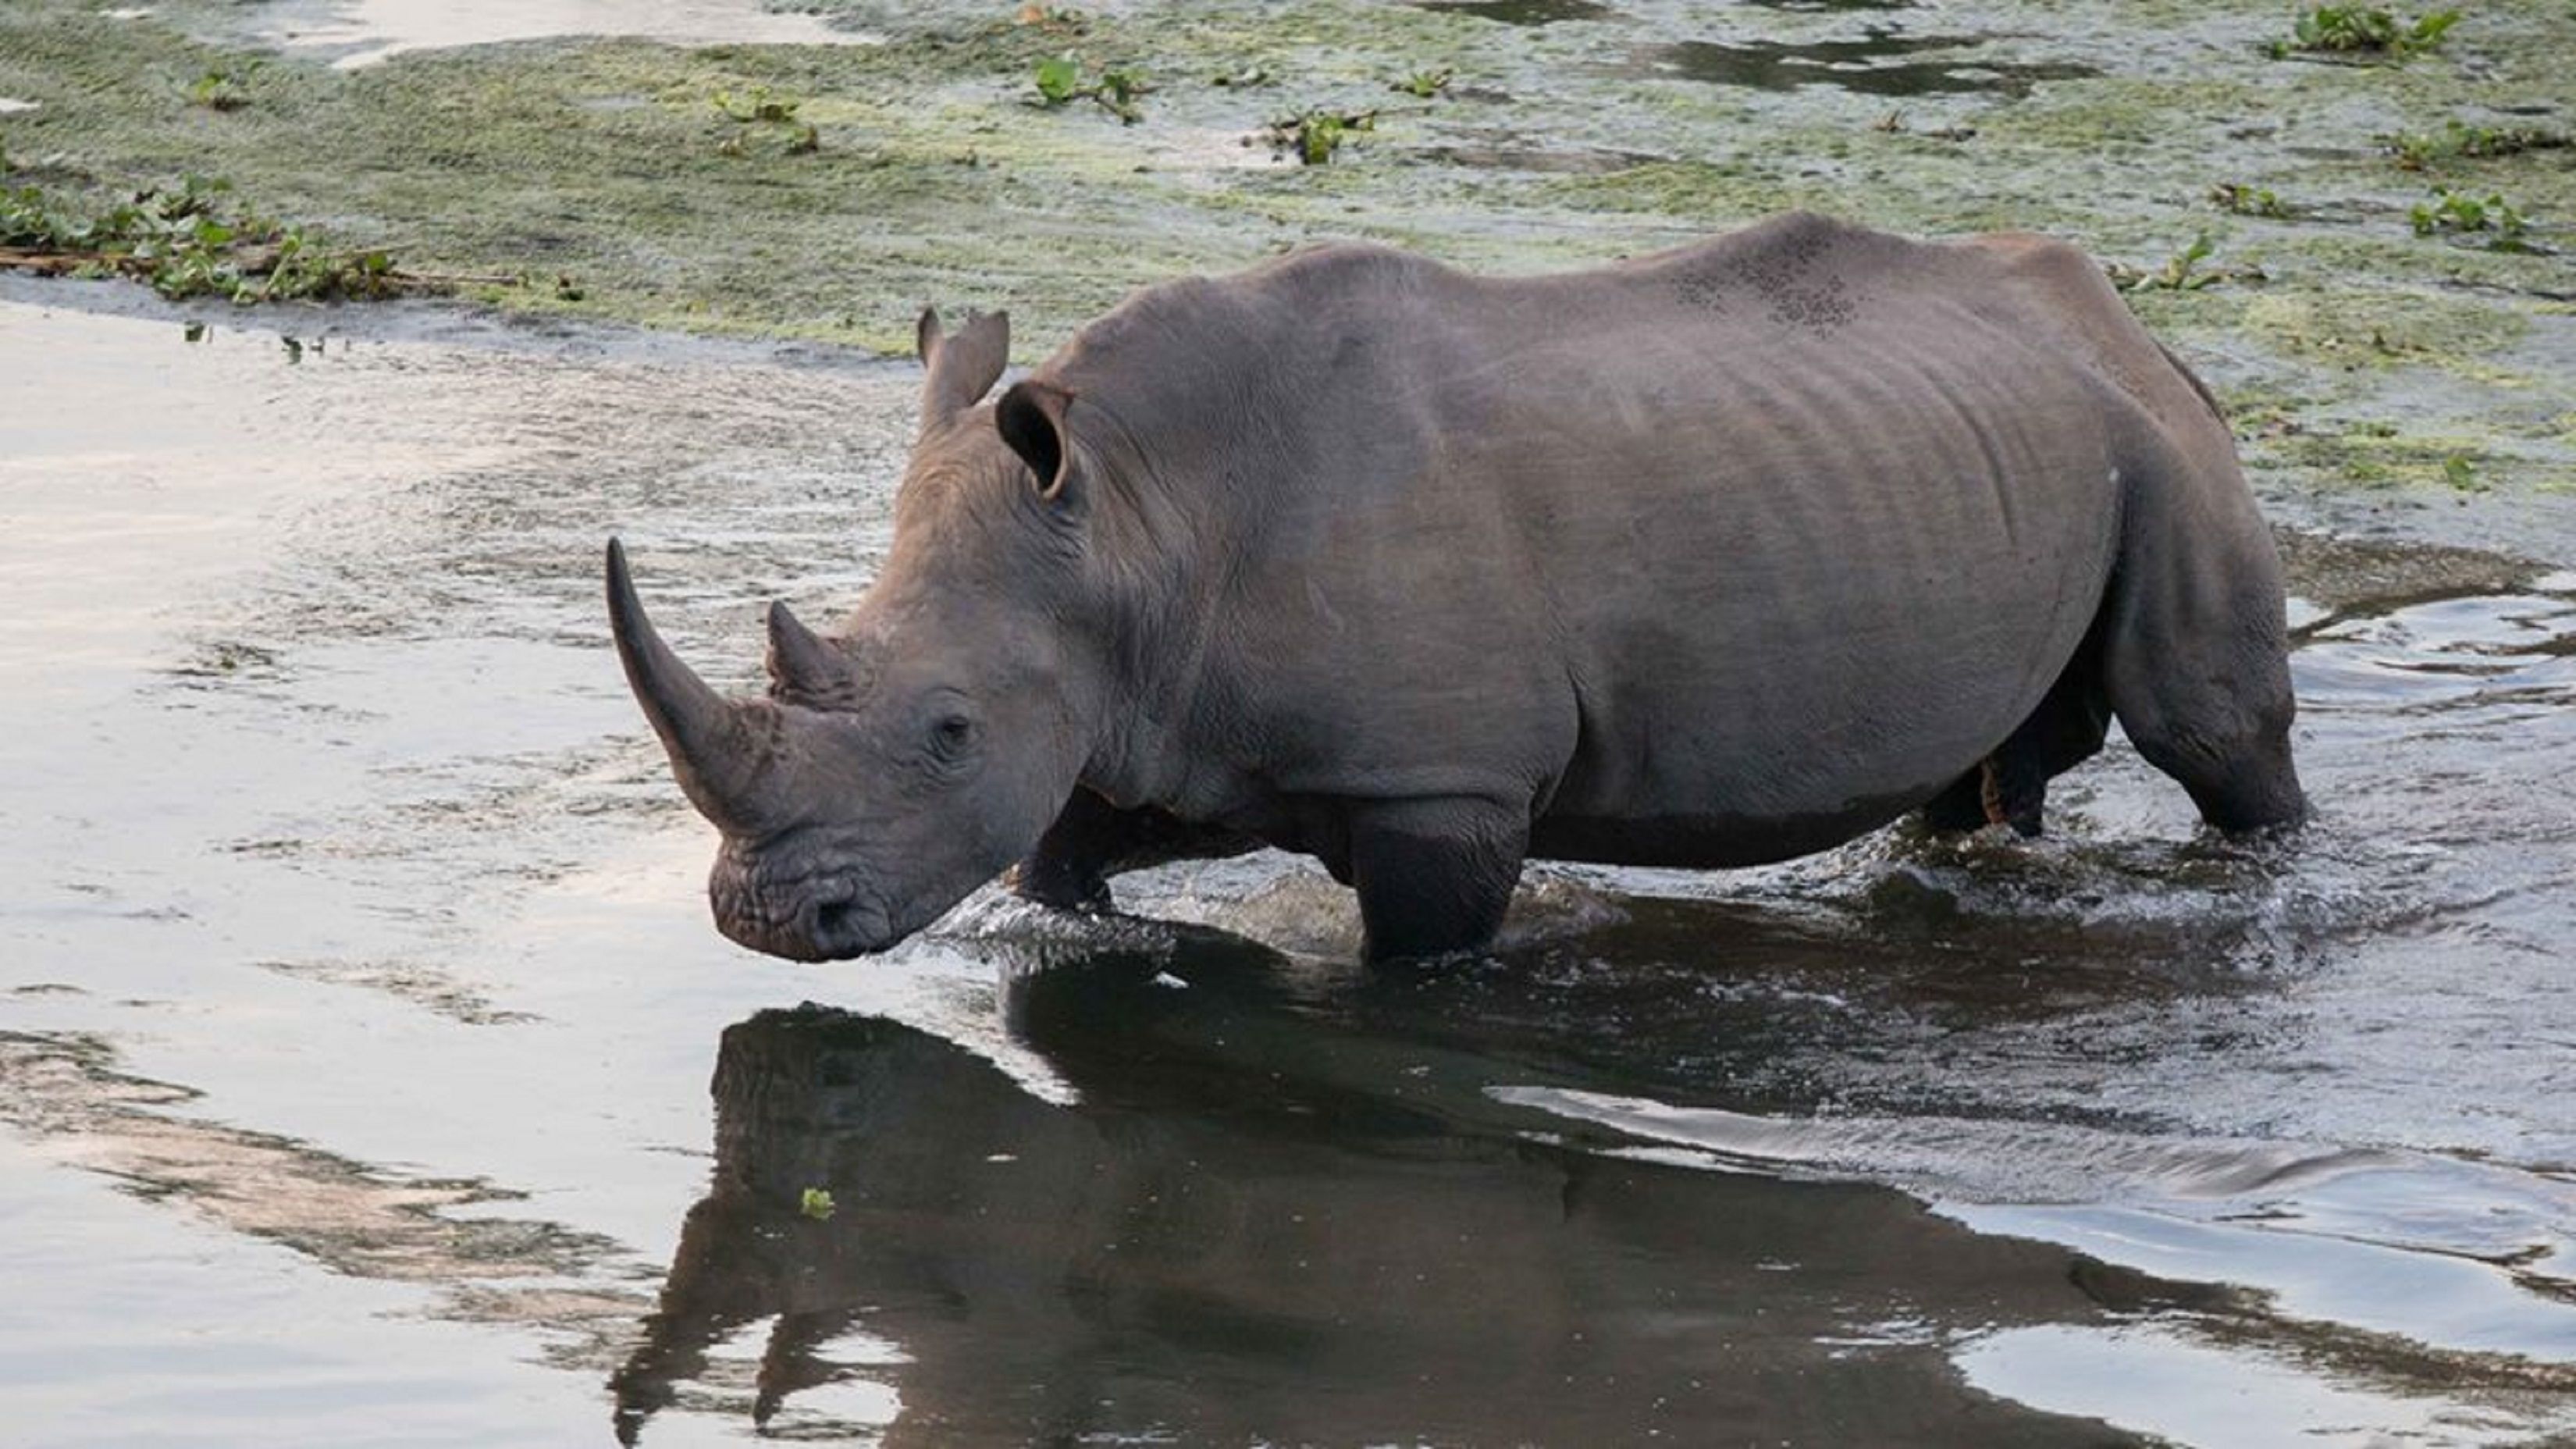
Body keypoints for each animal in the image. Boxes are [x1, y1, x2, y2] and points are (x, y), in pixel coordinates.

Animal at [608, 212, 2305, 965]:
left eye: (949, 731)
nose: (762, 918)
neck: (1135, 519)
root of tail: (2132, 322)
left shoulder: (1444, 780)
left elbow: (1419, 959)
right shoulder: (1142, 719)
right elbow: (1062, 868)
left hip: (2165, 446)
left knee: (2210, 733)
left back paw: (2266, 872)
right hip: (2004, 444)